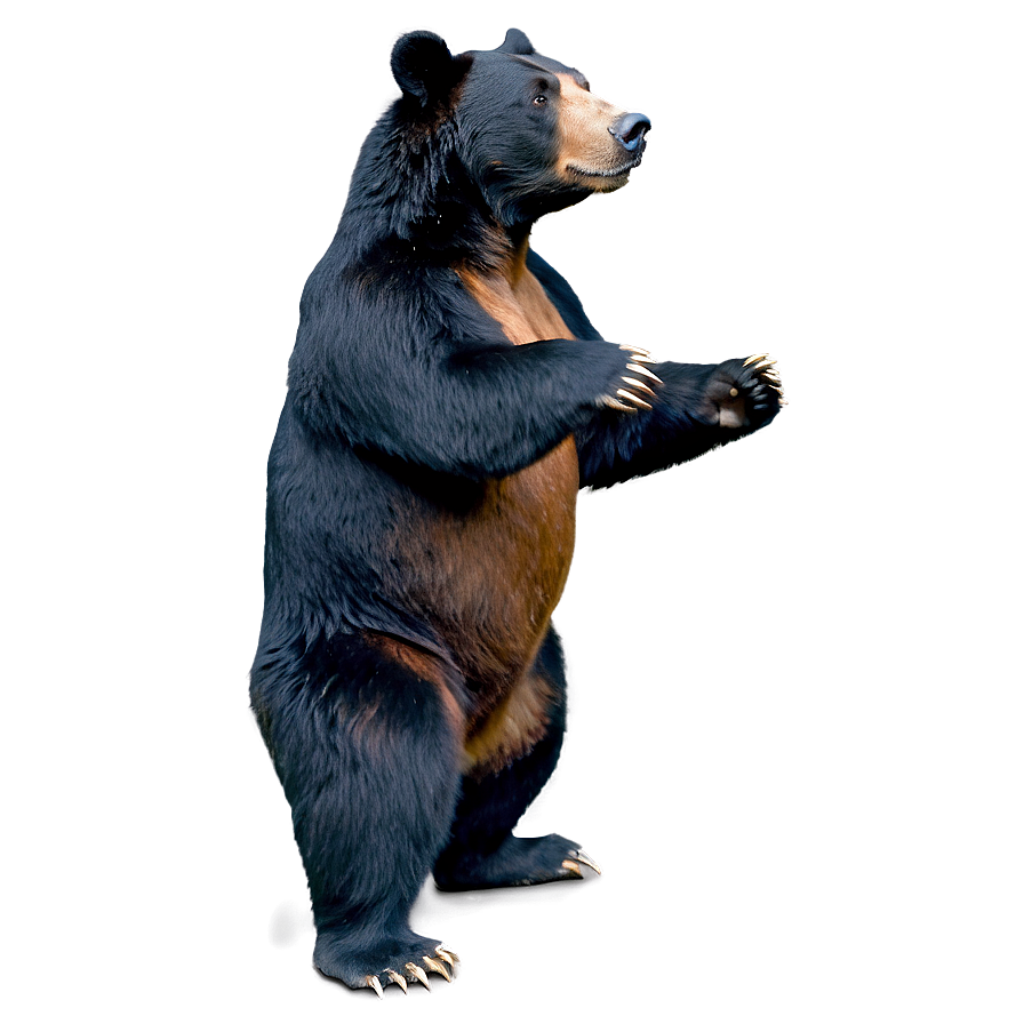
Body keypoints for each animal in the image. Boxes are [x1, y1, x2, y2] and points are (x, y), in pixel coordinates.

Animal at [247, 25, 786, 998]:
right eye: (541, 97)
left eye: (583, 78)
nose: (636, 125)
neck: (493, 247)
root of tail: (470, 728)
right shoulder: (373, 305)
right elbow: (445, 396)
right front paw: (619, 364)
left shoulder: (555, 292)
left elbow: (611, 442)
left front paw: (746, 379)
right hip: (368, 645)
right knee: (374, 766)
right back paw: (391, 953)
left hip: (536, 670)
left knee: (536, 738)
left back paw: (530, 851)